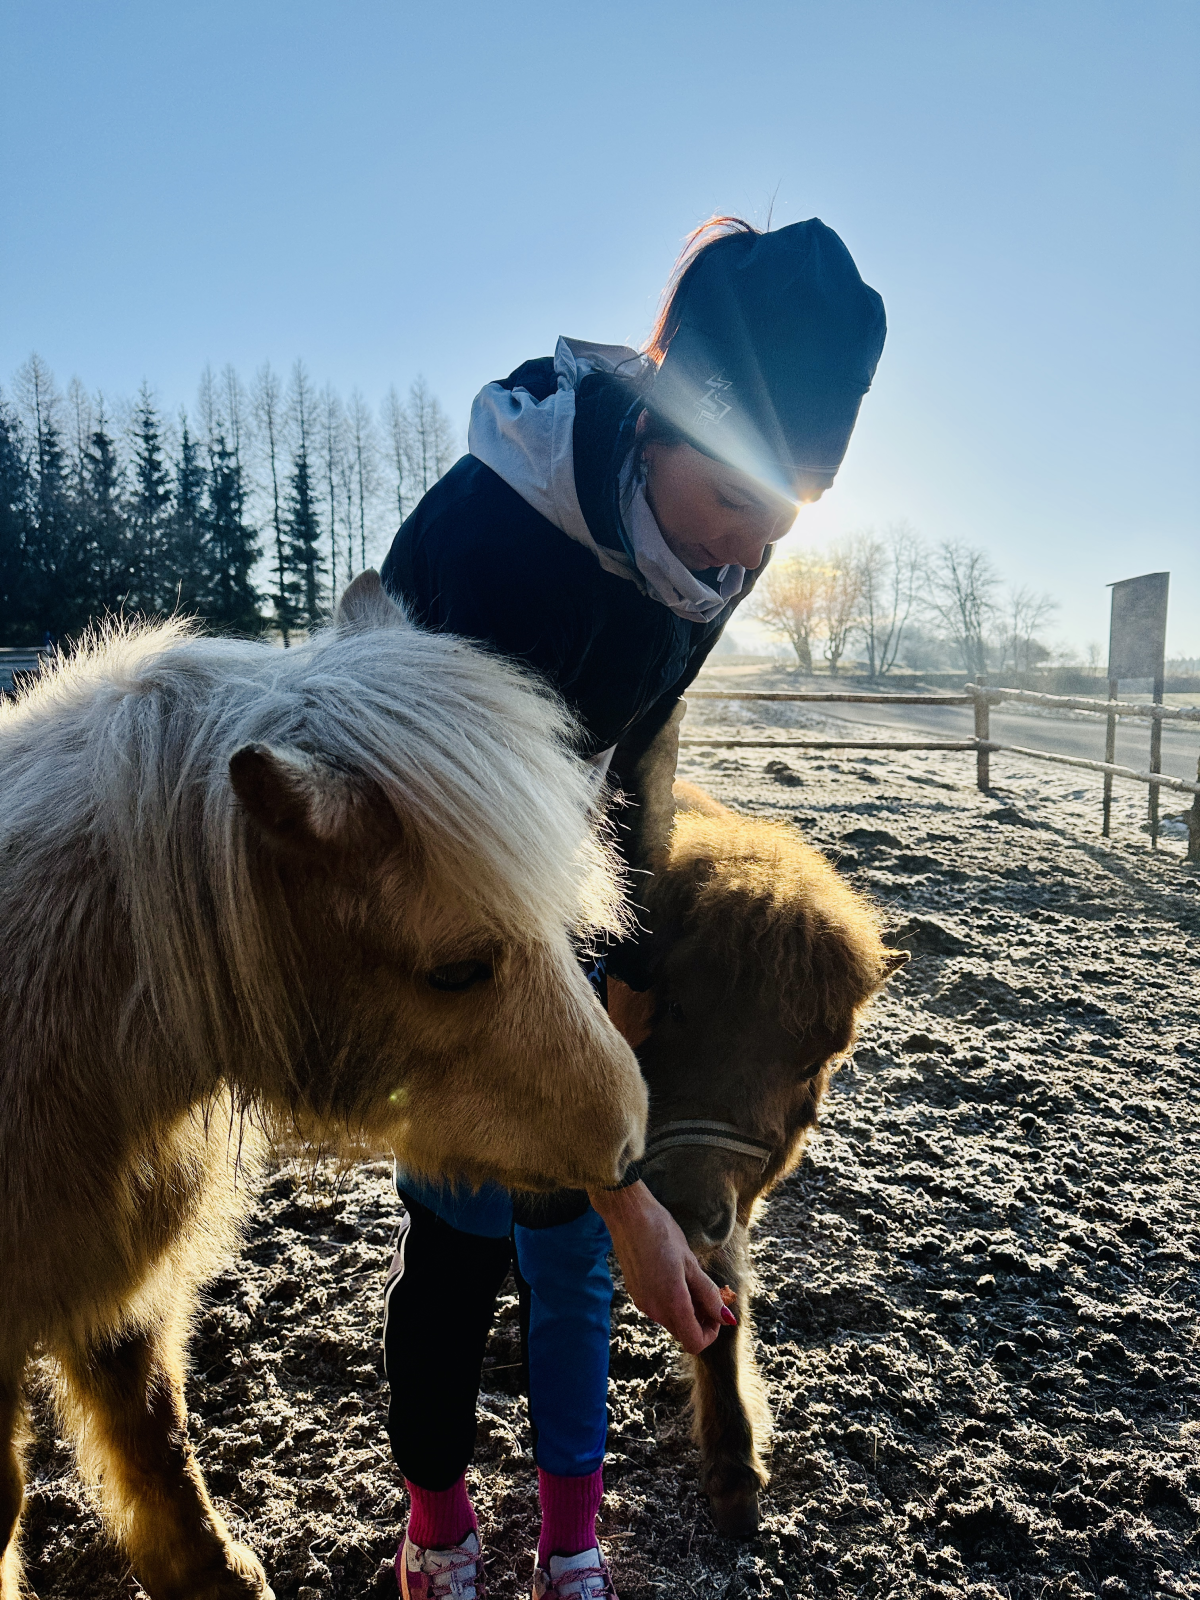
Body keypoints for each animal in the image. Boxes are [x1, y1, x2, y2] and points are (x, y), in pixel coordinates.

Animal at [614, 784, 908, 1536]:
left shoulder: (728, 1205)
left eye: (816, 1060)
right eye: (672, 1004)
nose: (682, 1208)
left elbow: (722, 1309)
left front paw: (734, 1475)